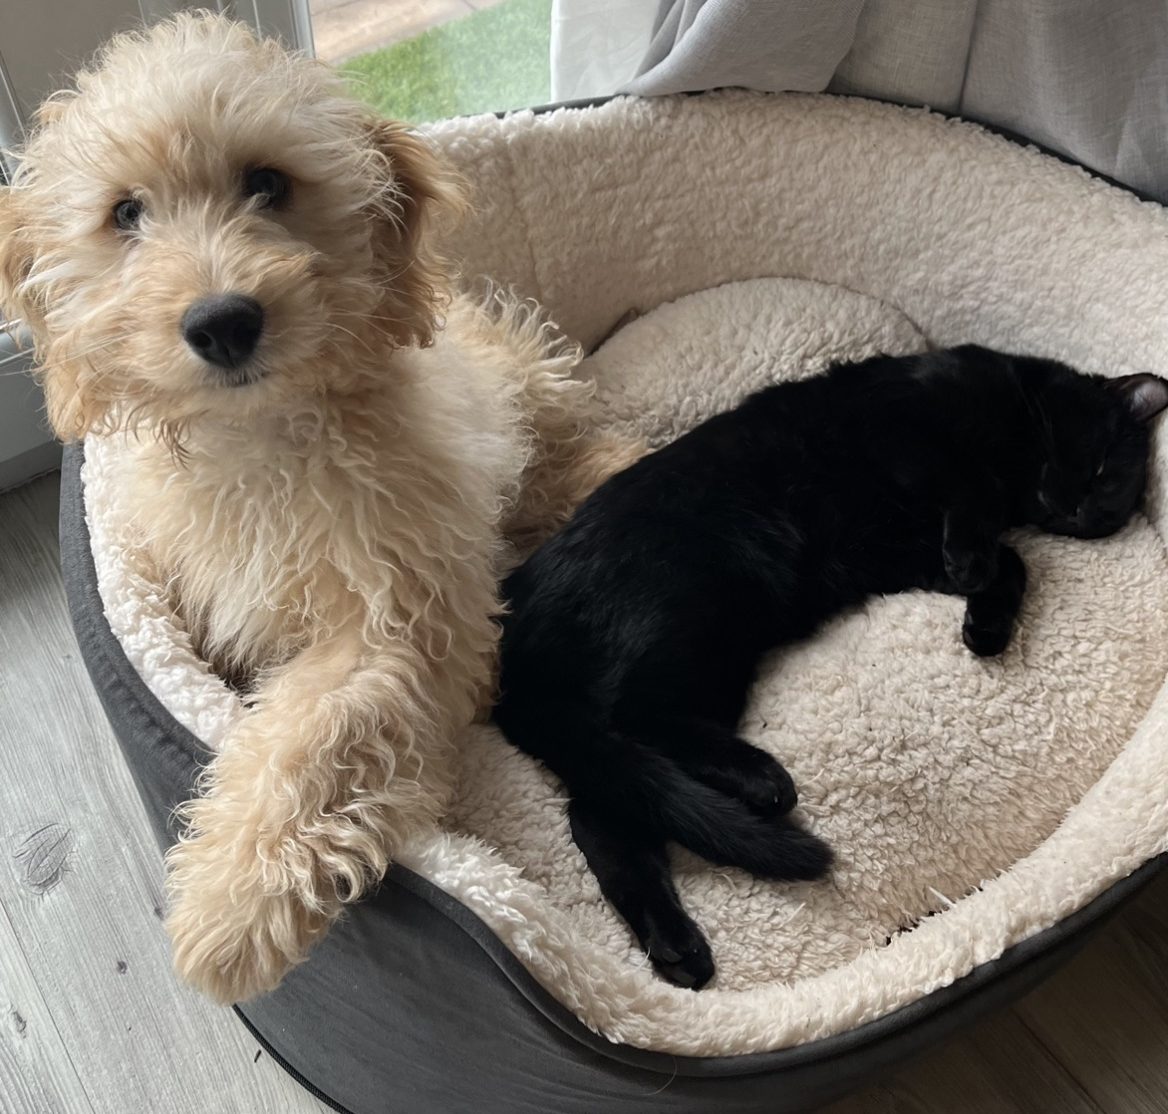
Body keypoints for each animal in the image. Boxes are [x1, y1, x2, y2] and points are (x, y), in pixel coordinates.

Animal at [0, 10, 640, 999]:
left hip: (527, 396)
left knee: (575, 455)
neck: (262, 441)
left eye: (267, 183)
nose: (223, 321)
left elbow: (314, 735)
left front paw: (229, 904)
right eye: (126, 214)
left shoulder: (395, 613)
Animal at [492, 343, 1168, 985]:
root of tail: (513, 632)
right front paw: (977, 567)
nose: (1087, 514)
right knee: (631, 730)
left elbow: (1013, 561)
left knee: (605, 811)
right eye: (1106, 472)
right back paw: (763, 784)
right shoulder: (908, 425)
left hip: (709, 661)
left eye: (1109, 501)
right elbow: (976, 491)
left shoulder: (903, 552)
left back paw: (678, 948)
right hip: (690, 609)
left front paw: (987, 628)